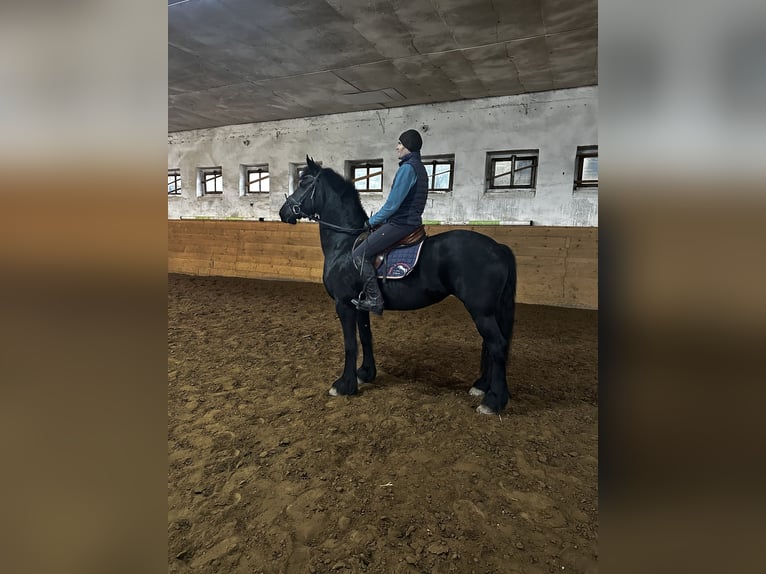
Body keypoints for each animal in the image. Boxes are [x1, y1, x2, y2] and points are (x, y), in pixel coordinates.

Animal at [279, 157, 517, 414]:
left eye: (304, 182)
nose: (283, 212)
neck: (345, 246)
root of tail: (498, 247)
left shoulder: (344, 304)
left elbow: (350, 344)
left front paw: (344, 385)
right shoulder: (361, 304)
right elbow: (366, 337)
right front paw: (366, 373)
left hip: (481, 311)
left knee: (497, 345)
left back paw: (493, 401)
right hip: (489, 310)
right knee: (490, 346)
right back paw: (482, 386)